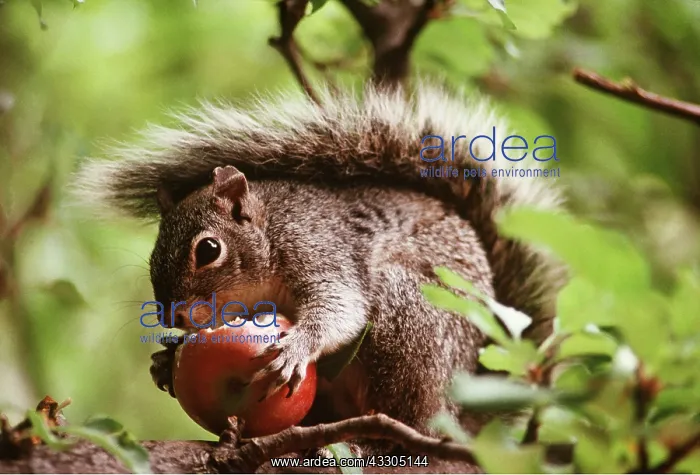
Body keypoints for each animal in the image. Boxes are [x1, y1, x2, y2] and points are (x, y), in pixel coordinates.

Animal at [74, 84, 563, 456]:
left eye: (208, 249)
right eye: (152, 256)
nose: (171, 318)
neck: (270, 231)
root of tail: (459, 418)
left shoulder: (321, 250)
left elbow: (340, 307)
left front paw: (296, 348)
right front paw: (166, 359)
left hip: (409, 319)